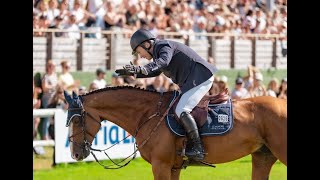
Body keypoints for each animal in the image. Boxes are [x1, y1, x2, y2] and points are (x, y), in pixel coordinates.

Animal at [63, 86, 286, 179]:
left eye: (77, 120)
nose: (75, 154)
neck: (148, 114)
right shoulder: (174, 167)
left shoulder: (161, 165)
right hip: (263, 157)